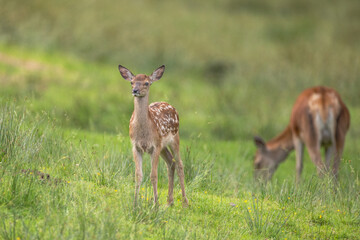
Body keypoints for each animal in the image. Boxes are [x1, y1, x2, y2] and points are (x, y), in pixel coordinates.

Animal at [119, 64, 191, 206]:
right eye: (132, 82)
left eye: (147, 83)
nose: (135, 90)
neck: (144, 133)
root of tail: (170, 105)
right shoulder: (135, 146)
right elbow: (138, 175)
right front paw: (135, 203)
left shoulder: (155, 146)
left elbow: (153, 175)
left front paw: (155, 204)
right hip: (163, 145)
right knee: (171, 162)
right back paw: (169, 201)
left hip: (174, 138)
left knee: (180, 164)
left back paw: (184, 202)